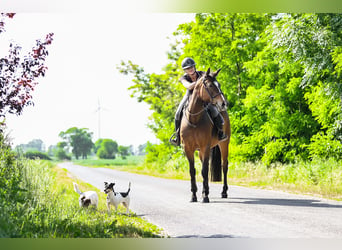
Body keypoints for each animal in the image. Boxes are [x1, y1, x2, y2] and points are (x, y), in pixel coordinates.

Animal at [180, 68, 231, 203]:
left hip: (224, 144)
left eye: (219, 84)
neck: (194, 120)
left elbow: (204, 171)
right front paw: (194, 195)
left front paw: (205, 196)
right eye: (210, 85)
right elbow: (193, 171)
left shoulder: (205, 147)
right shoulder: (188, 148)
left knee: (224, 166)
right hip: (200, 152)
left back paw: (224, 192)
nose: (223, 103)